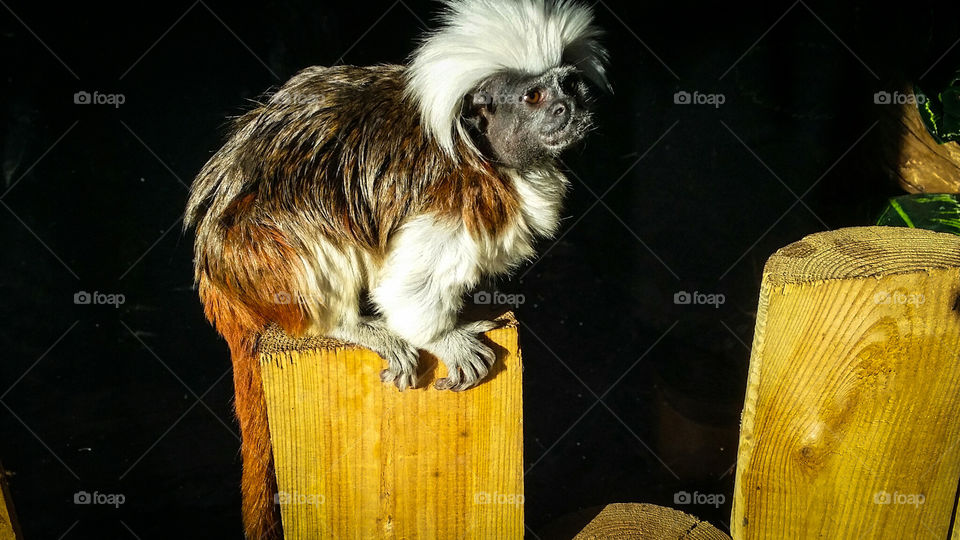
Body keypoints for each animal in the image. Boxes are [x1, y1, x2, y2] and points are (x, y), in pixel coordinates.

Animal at [184, 0, 608, 537]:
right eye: (533, 96)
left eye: (569, 86)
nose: (567, 109)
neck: (485, 152)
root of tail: (220, 284)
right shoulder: (450, 199)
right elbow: (406, 286)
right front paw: (445, 336)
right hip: (266, 252)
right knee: (308, 229)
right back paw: (352, 326)